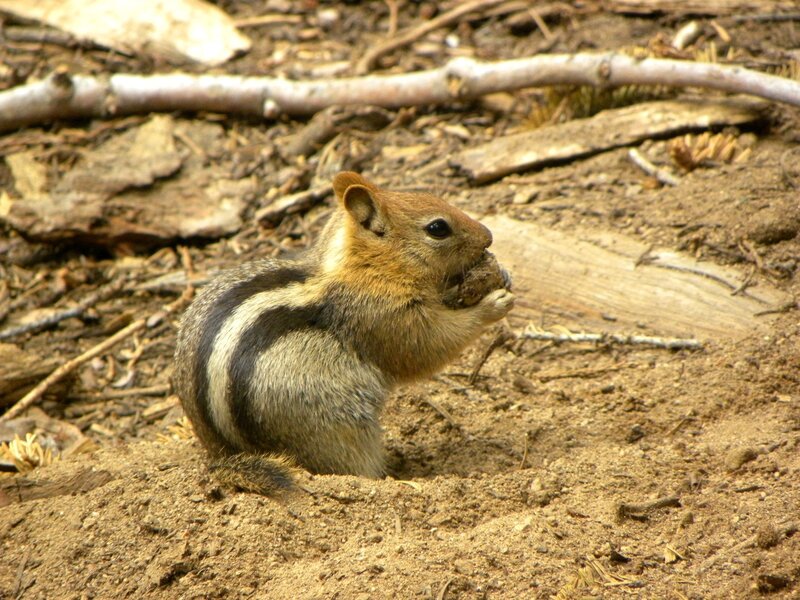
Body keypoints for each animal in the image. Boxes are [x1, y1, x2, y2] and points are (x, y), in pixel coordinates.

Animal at [172, 171, 515, 494]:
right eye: (438, 228)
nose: (488, 236)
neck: (364, 267)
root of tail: (224, 455)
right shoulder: (382, 316)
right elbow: (427, 346)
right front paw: (493, 304)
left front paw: (502, 275)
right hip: (336, 428)